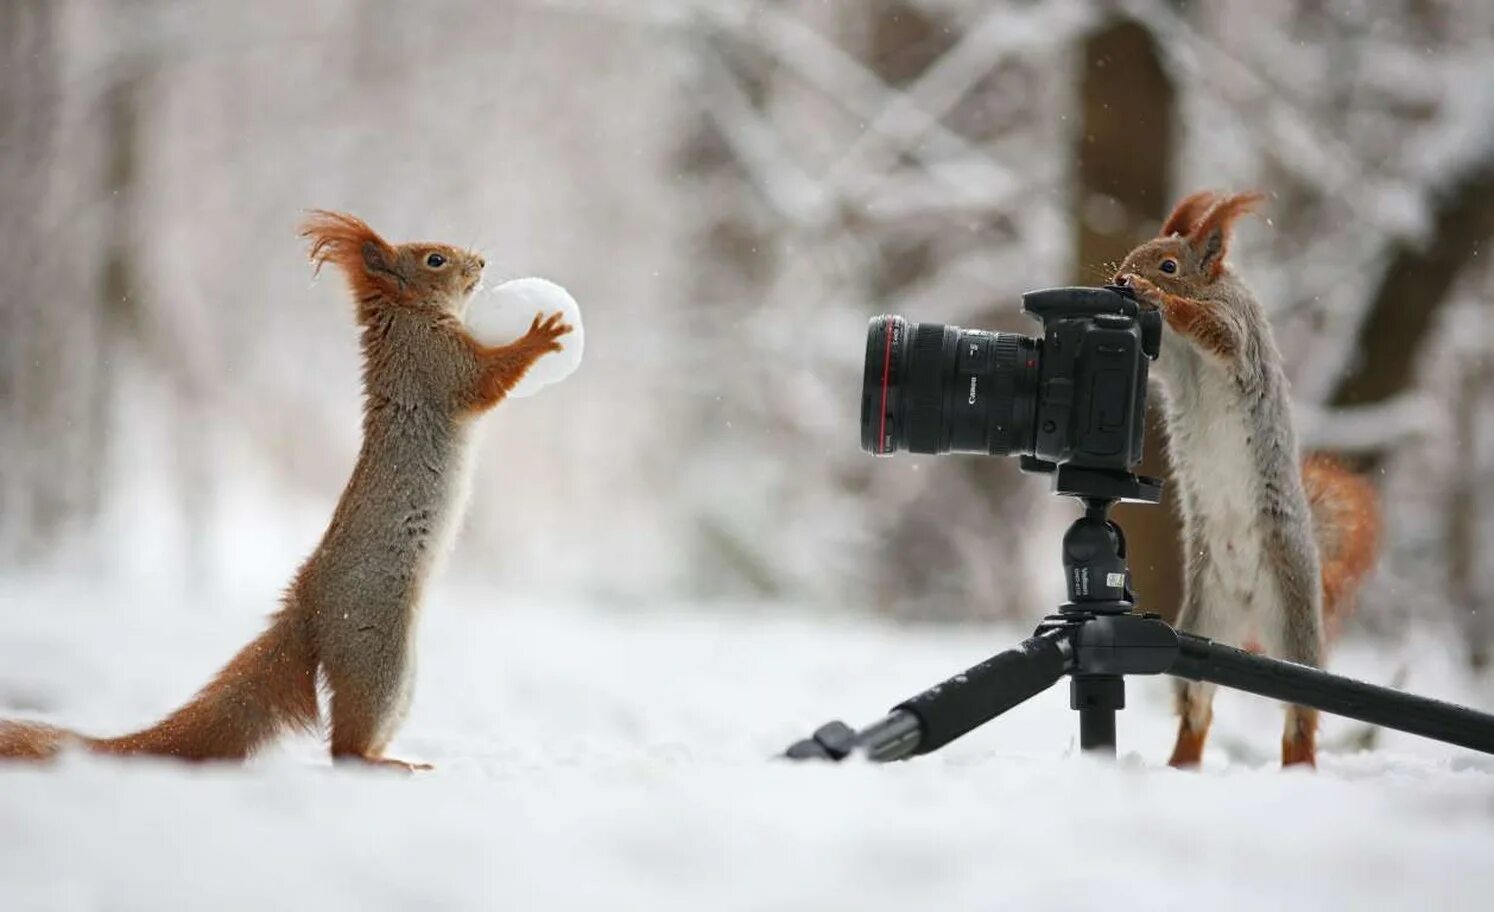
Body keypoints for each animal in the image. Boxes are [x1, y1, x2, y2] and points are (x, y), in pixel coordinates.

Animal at [0, 210, 570, 765]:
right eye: (435, 259)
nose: (481, 262)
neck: (408, 319)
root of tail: (308, 607)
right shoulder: (436, 365)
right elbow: (486, 380)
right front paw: (542, 335)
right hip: (378, 652)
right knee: (345, 746)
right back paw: (383, 762)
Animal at [1117, 191, 1380, 765]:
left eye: (1169, 265)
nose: (1122, 277)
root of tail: (1245, 606)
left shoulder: (1234, 330)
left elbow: (1212, 328)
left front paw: (1155, 296)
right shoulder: (1169, 363)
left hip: (1294, 619)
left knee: (1301, 709)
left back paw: (1298, 767)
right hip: (1200, 620)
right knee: (1196, 704)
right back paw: (1180, 764)